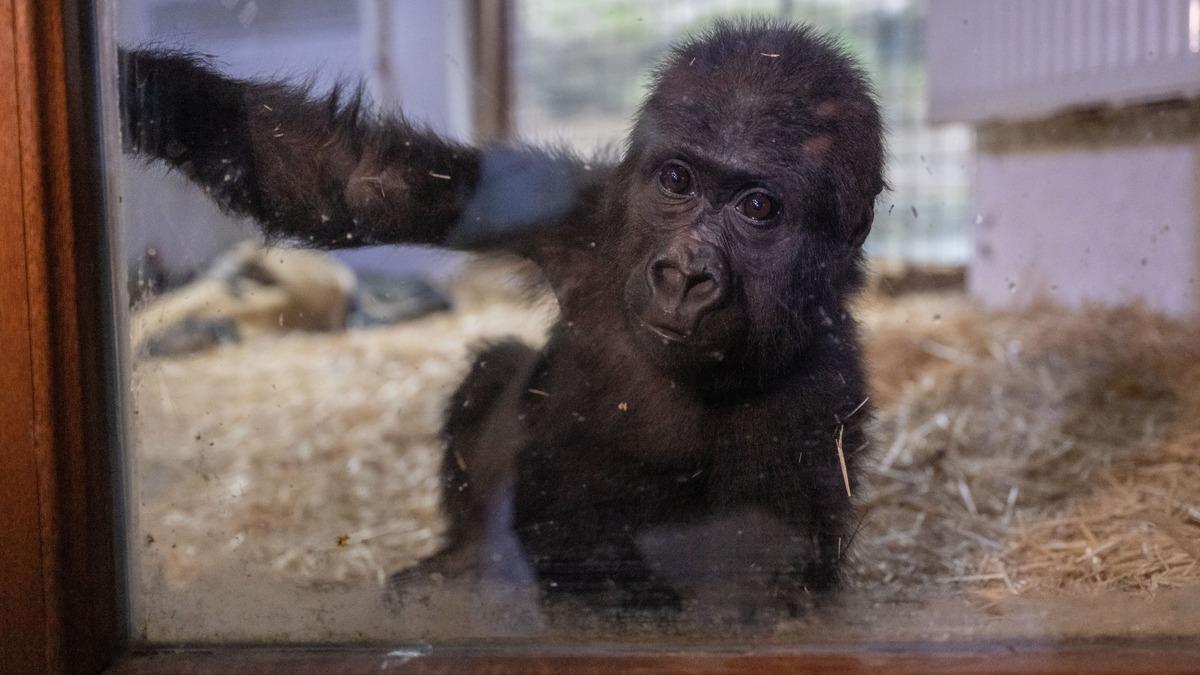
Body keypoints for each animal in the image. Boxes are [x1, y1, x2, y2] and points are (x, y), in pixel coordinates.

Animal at [121, 19, 888, 610]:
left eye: (757, 208)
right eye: (678, 180)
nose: (684, 274)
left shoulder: (822, 390)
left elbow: (753, 577)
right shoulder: (580, 212)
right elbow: (361, 180)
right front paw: (148, 91)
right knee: (497, 363)